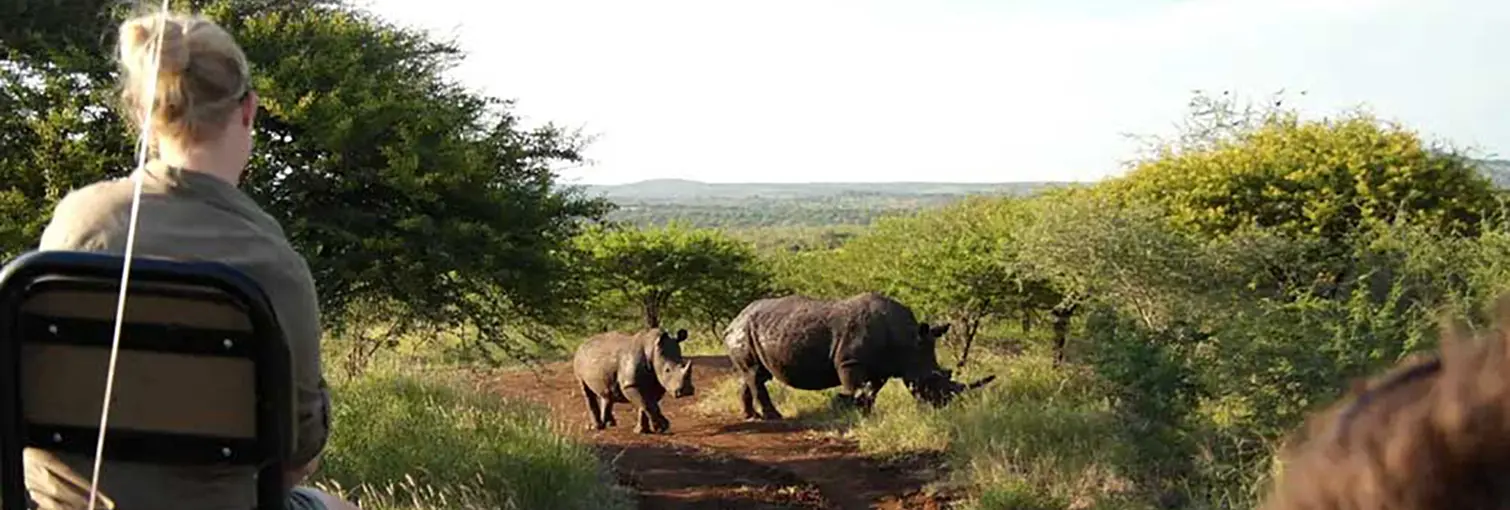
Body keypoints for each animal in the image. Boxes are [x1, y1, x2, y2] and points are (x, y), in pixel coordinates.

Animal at [718, 291, 990, 419]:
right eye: (930, 380)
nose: (942, 407)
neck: (907, 339)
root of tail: (734, 319)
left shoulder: (882, 367)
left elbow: (871, 390)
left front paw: (865, 412)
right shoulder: (850, 361)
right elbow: (856, 387)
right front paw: (854, 413)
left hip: (752, 329)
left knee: (753, 374)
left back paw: (751, 416)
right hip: (744, 330)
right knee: (755, 374)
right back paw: (774, 418)